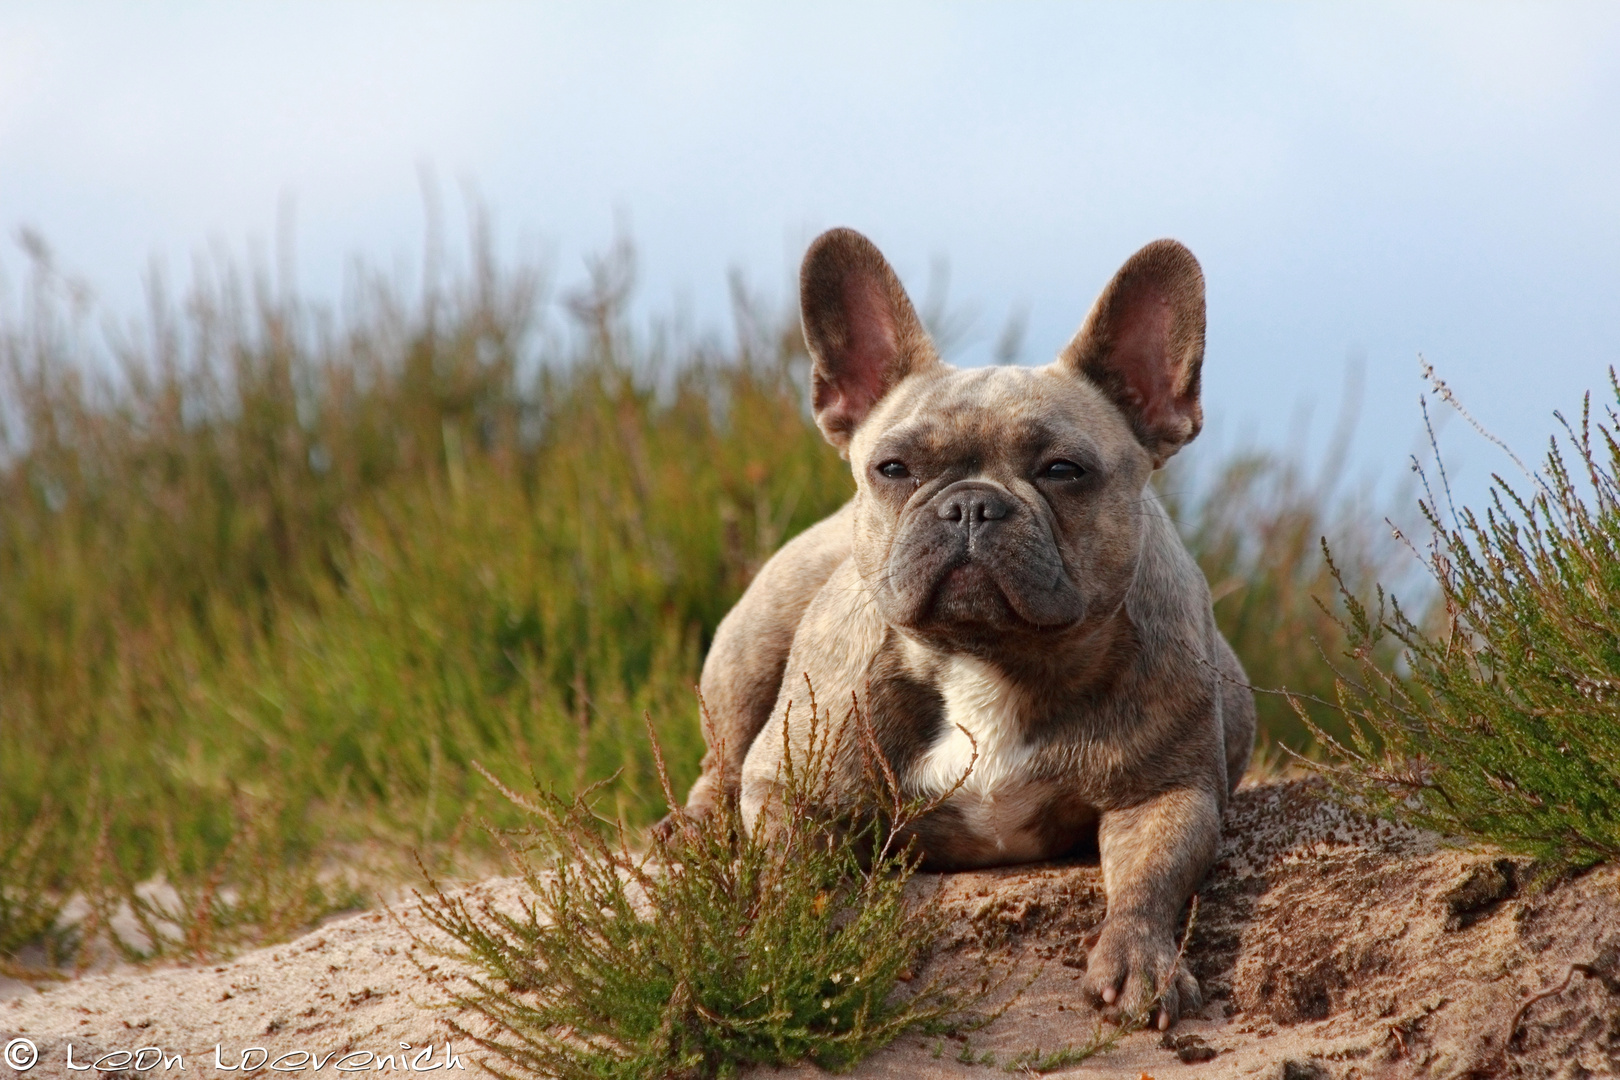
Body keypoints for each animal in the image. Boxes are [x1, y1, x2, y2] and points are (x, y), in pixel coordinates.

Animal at [664, 228, 1257, 1029]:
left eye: (1064, 470)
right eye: (893, 468)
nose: (971, 504)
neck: (986, 660)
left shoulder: (1168, 794)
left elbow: (1150, 879)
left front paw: (1140, 959)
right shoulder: (791, 786)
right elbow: (787, 877)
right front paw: (774, 949)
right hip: (751, 643)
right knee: (719, 759)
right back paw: (694, 825)